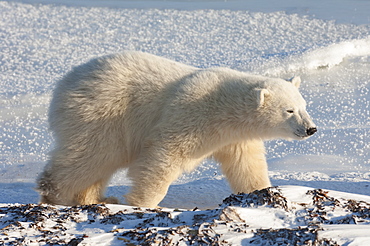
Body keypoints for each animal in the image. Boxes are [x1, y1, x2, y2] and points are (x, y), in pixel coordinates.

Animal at [36, 51, 316, 208]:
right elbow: (164, 155)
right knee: (92, 154)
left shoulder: (235, 138)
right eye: (289, 110)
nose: (311, 129)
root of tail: (64, 83)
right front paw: (143, 203)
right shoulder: (189, 114)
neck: (224, 107)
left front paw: (261, 192)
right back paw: (56, 194)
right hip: (103, 113)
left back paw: (96, 199)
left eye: (304, 106)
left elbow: (246, 165)